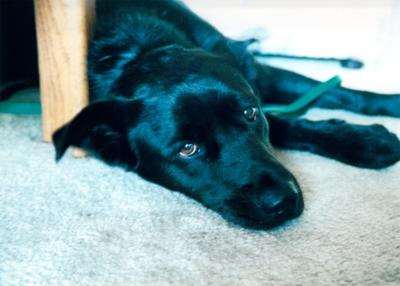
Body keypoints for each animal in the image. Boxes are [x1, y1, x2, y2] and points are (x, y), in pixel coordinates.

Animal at [51, 0, 398, 229]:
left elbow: (341, 94)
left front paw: (366, 137)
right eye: (187, 149)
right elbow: (283, 123)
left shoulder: (260, 78)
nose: (283, 203)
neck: (141, 49)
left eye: (250, 114)